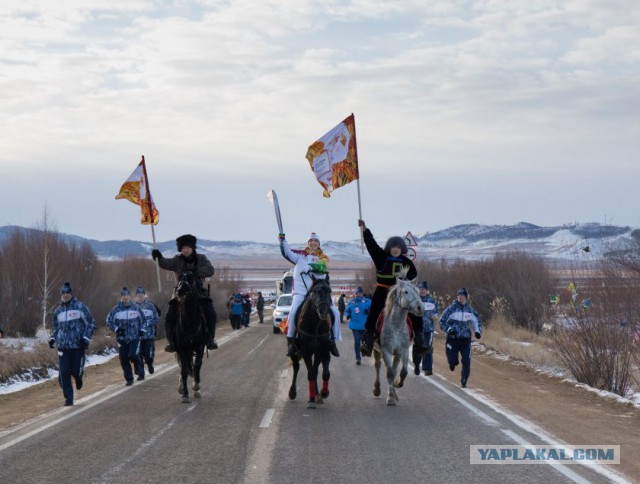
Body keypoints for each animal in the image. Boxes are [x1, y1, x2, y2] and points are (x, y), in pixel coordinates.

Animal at [370, 270, 424, 406]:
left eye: (417, 290)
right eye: (406, 292)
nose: (421, 308)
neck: (396, 325)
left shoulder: (403, 351)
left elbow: (403, 372)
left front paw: (397, 385)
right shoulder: (387, 351)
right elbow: (389, 373)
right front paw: (390, 399)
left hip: (397, 355)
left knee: (395, 370)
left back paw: (395, 392)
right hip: (377, 350)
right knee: (378, 366)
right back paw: (377, 389)